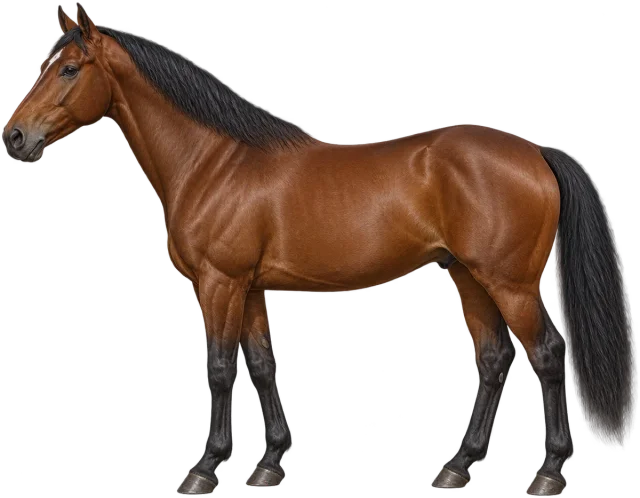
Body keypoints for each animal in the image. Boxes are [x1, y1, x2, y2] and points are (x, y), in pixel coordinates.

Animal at [3, 3, 637, 496]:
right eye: (46, 65)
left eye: (71, 69)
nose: (14, 136)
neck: (214, 163)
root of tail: (535, 152)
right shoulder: (251, 289)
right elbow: (261, 366)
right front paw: (268, 465)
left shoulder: (219, 283)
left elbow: (221, 368)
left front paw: (205, 470)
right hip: (470, 279)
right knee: (493, 360)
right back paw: (456, 469)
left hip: (511, 285)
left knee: (547, 356)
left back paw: (547, 474)